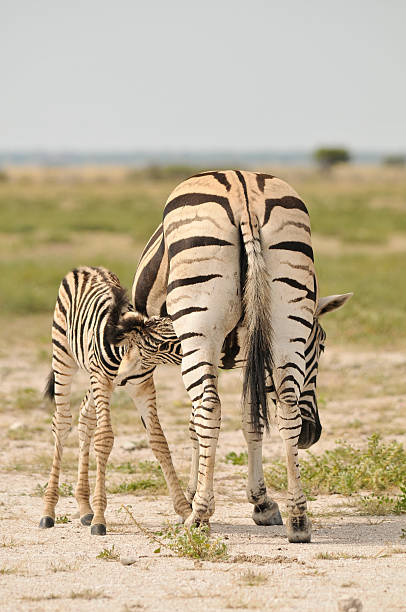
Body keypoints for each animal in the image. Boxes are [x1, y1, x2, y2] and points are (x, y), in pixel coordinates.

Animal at [38, 266, 190, 532]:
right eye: (163, 344)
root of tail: (85, 268)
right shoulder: (102, 380)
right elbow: (105, 438)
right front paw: (100, 518)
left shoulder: (142, 387)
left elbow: (159, 441)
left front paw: (184, 509)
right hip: (63, 357)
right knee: (62, 422)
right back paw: (49, 511)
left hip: (95, 381)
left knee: (85, 418)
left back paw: (84, 508)